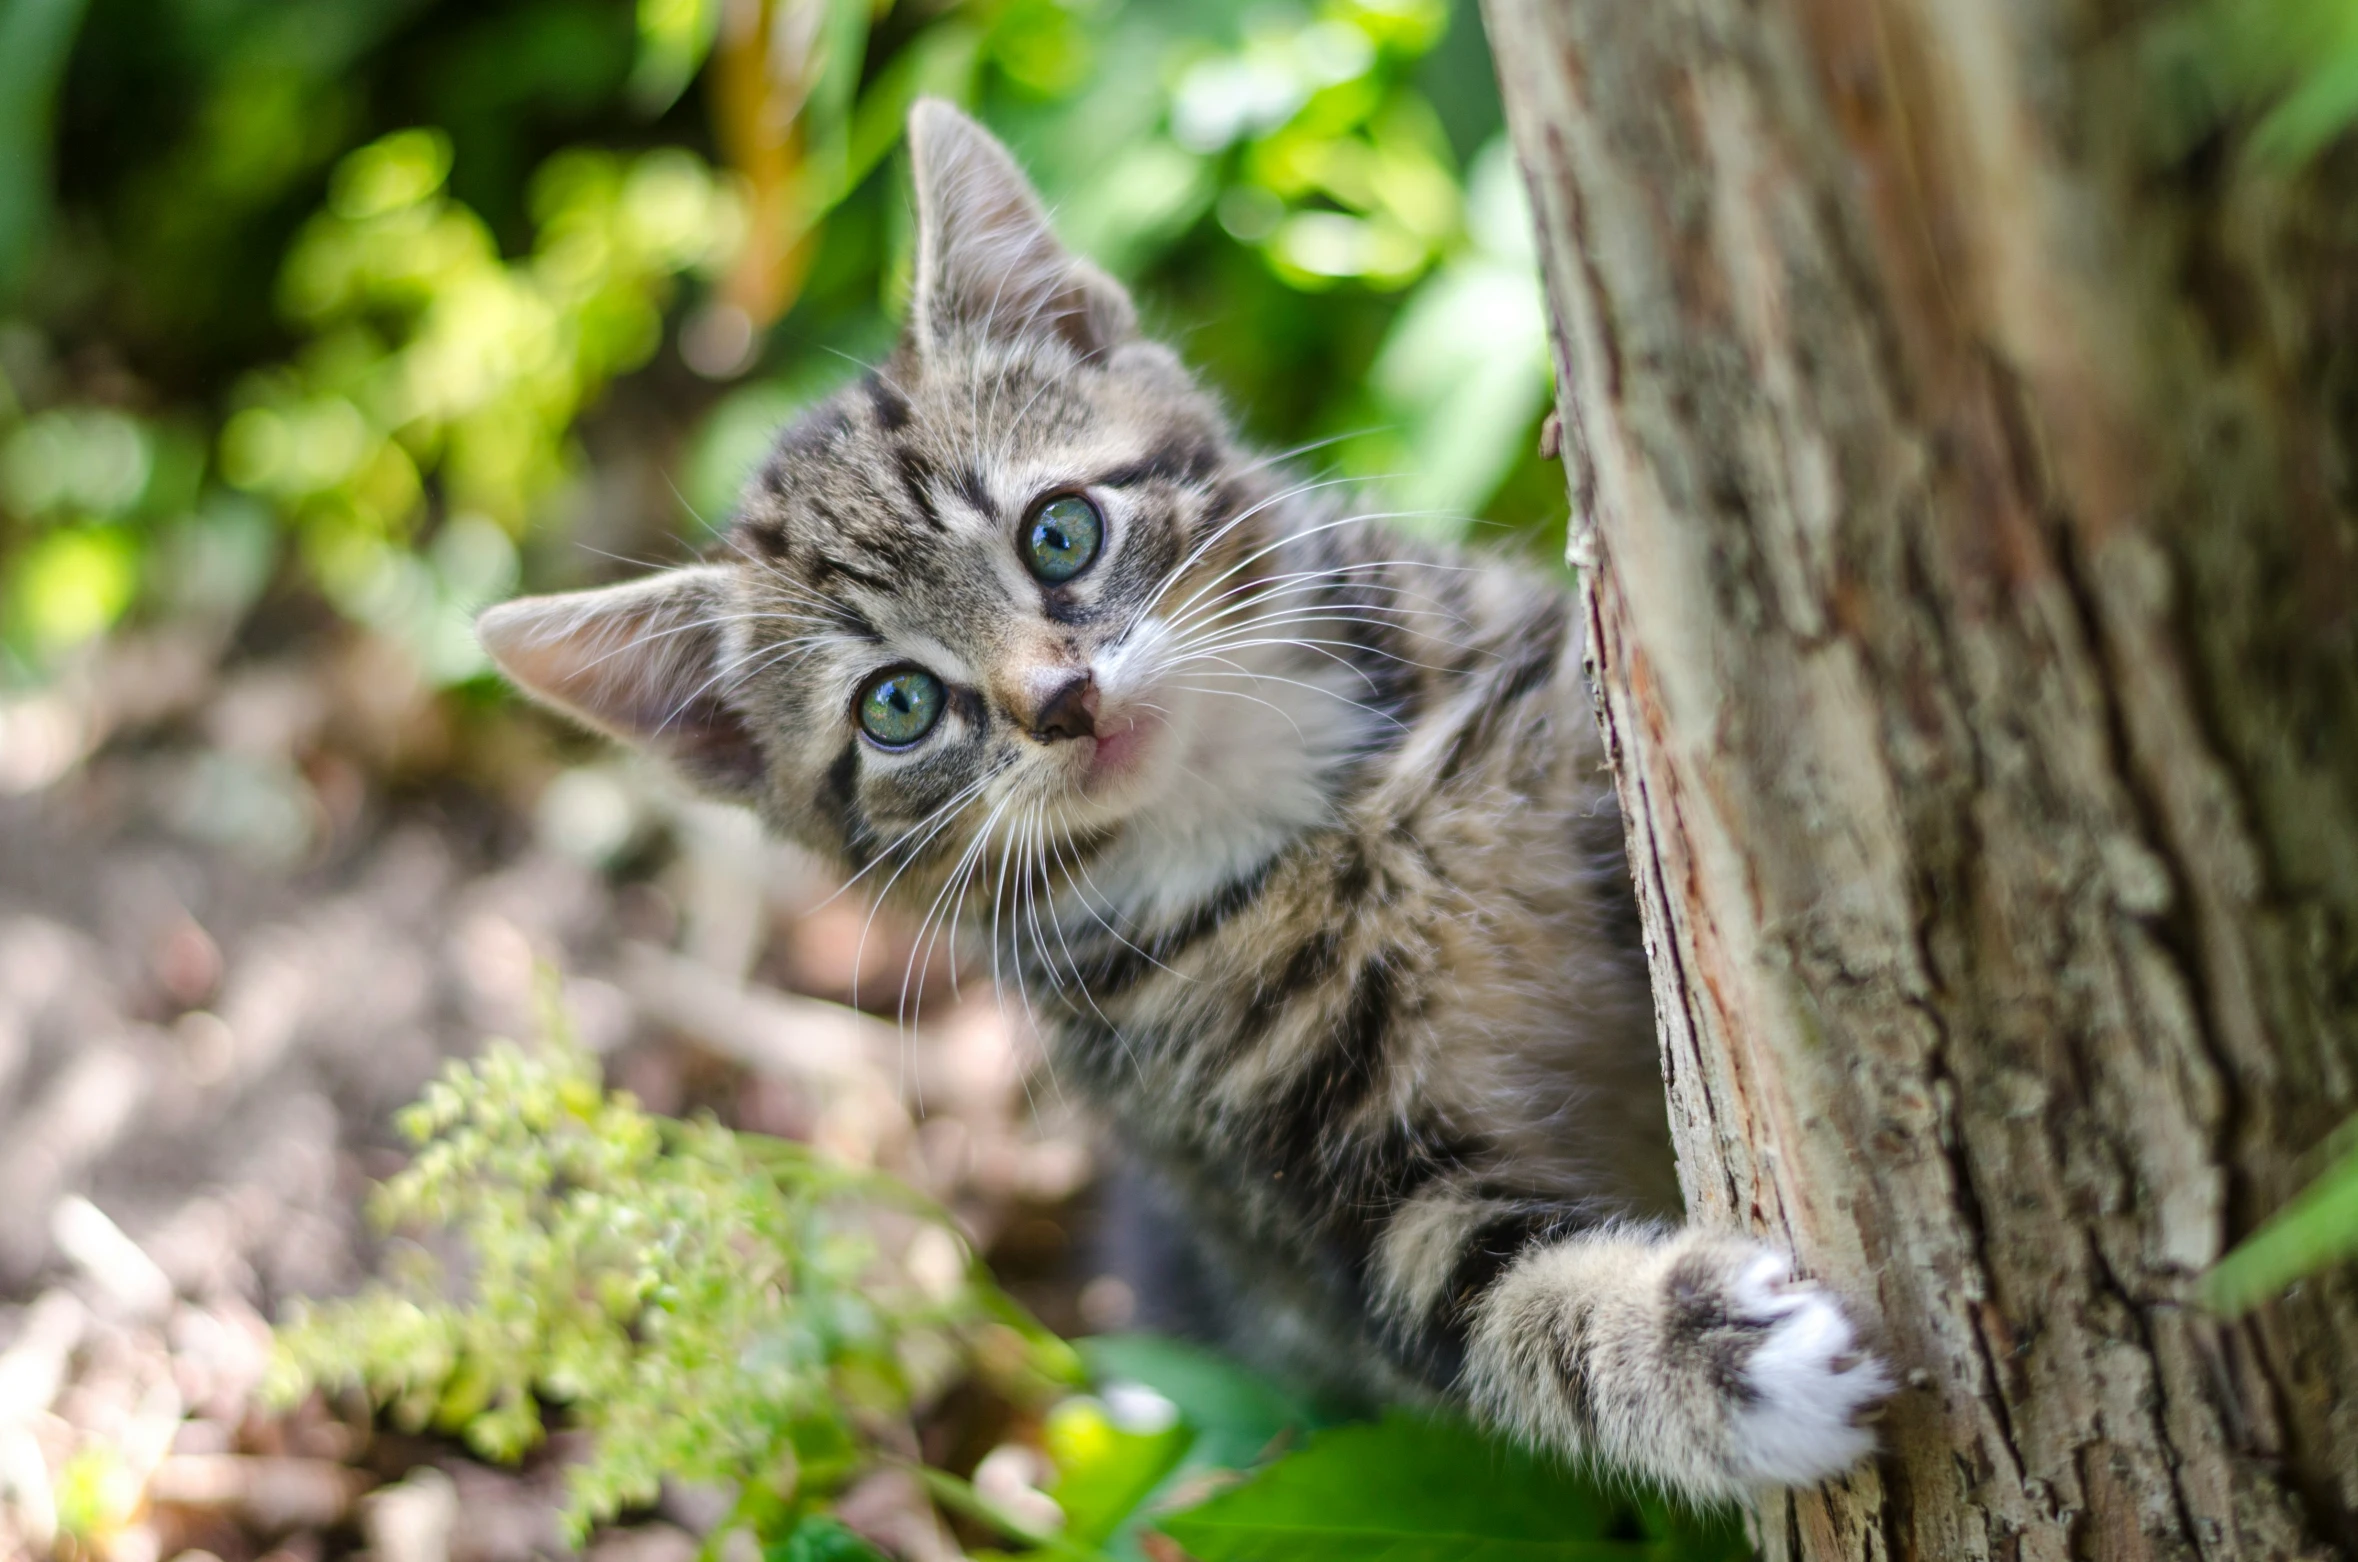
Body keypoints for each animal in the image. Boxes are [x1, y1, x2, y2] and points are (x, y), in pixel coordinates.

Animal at [483, 100, 1895, 1510]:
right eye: (899, 705)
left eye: (1059, 532)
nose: (1059, 700)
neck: (1291, 819)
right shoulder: (1312, 1198)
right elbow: (1504, 1314)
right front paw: (1715, 1353)